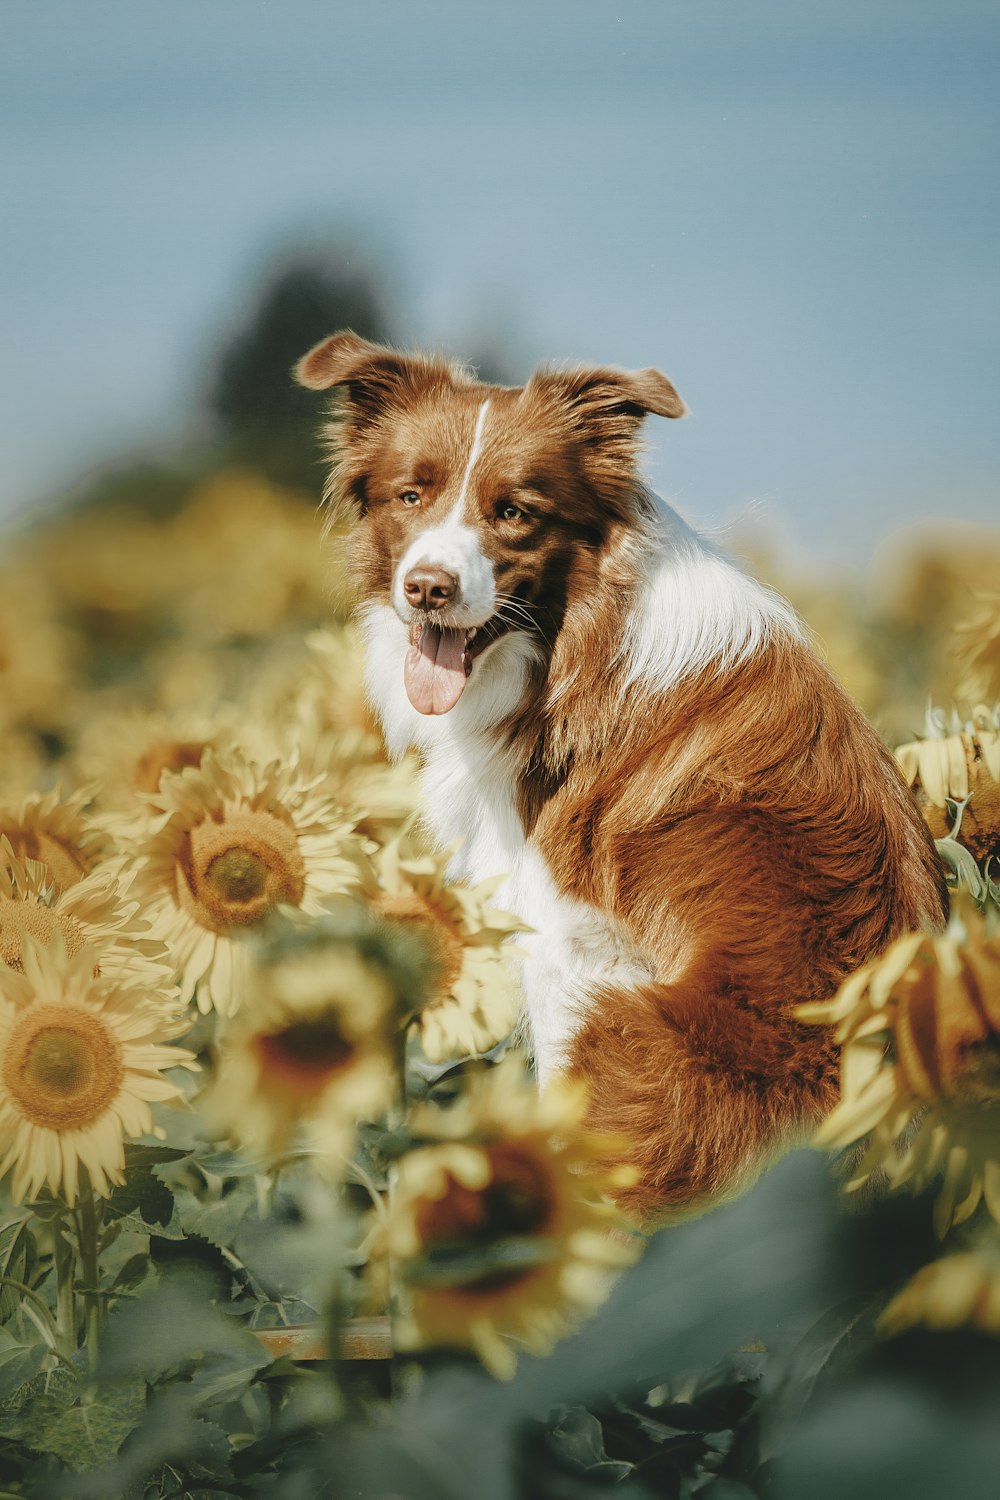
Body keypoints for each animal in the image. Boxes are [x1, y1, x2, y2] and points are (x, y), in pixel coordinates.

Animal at [290, 328, 947, 1218]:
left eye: (514, 512)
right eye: (410, 495)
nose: (428, 589)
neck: (573, 644)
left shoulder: (567, 951)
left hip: (624, 1032)